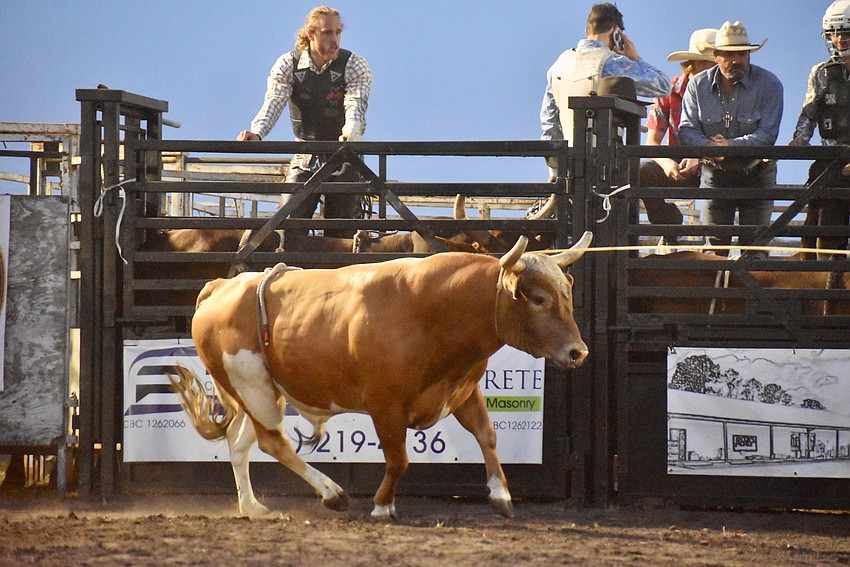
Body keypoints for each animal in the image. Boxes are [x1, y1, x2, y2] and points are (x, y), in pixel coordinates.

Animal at [169, 232, 593, 520]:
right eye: (538, 298)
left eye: (567, 294)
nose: (578, 352)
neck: (432, 310)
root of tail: (220, 287)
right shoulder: (385, 404)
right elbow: (398, 458)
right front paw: (382, 505)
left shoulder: (462, 390)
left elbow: (487, 436)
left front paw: (500, 494)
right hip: (253, 387)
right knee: (273, 443)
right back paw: (332, 493)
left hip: (256, 391)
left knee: (240, 442)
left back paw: (252, 505)